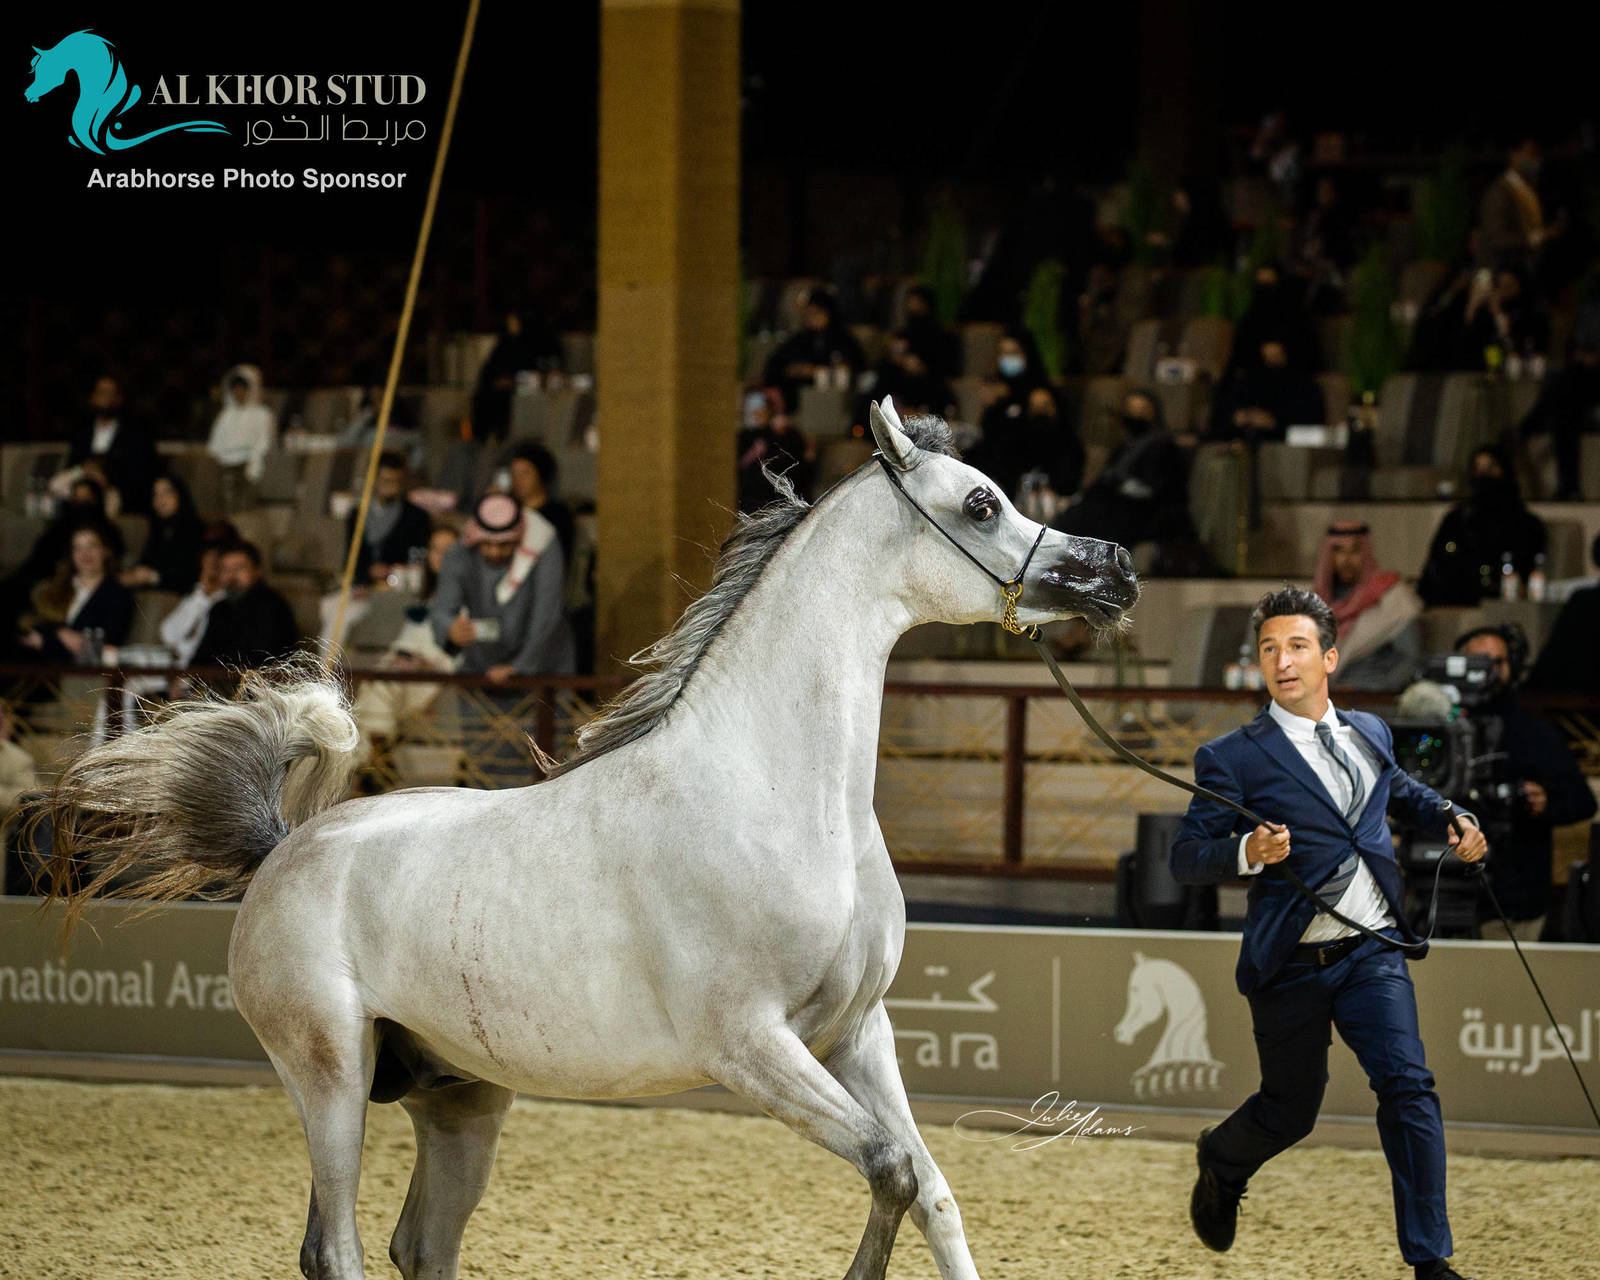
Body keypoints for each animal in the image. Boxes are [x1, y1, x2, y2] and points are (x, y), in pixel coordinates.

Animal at [40, 399, 1140, 1280]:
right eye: (982, 505)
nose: (1115, 569)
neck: (776, 794)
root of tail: (282, 851)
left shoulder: (857, 1031)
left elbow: (933, 1188)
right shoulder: (750, 1044)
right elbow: (891, 1167)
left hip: (460, 1098)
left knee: (416, 1246)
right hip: (330, 1077)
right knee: (335, 1248)